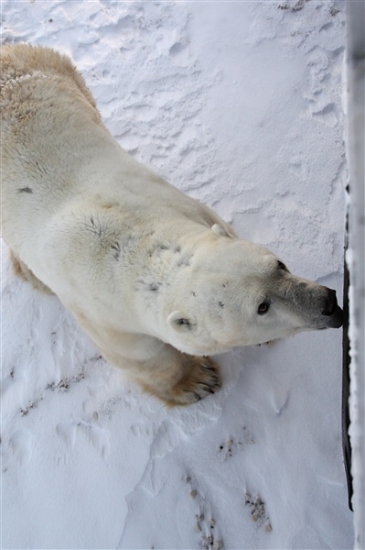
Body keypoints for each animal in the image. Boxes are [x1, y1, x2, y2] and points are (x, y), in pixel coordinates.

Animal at [0, 45, 342, 406]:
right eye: (261, 307)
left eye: (280, 264)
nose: (328, 304)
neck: (129, 243)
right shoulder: (102, 314)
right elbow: (144, 356)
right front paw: (197, 382)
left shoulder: (184, 205)